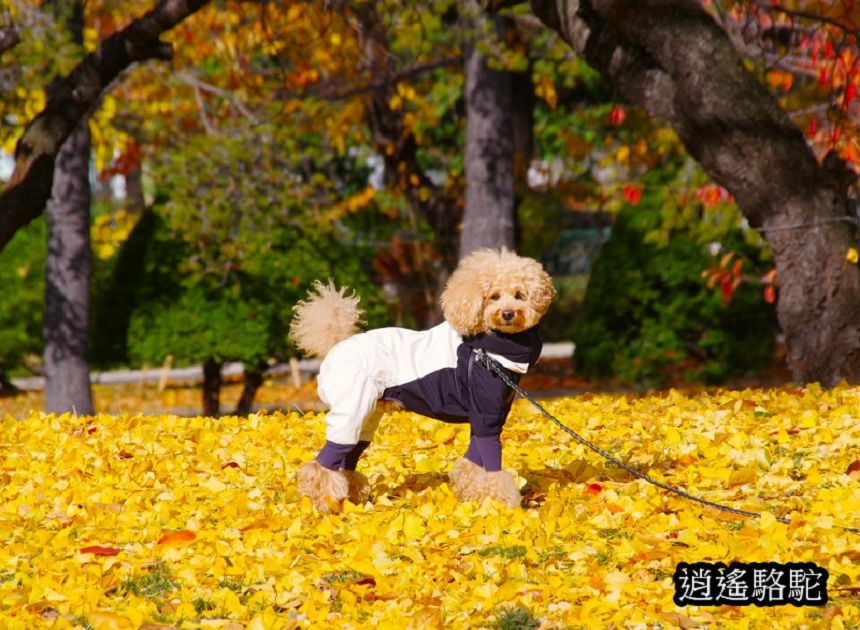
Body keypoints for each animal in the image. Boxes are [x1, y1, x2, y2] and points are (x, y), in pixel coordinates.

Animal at [290, 247, 556, 512]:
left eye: (520, 295)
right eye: (493, 296)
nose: (508, 314)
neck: (487, 349)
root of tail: (337, 346)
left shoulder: (486, 418)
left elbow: (473, 461)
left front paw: (474, 498)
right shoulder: (487, 416)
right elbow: (492, 468)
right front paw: (501, 504)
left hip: (367, 416)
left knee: (347, 457)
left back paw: (350, 498)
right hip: (352, 410)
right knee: (324, 463)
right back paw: (321, 504)